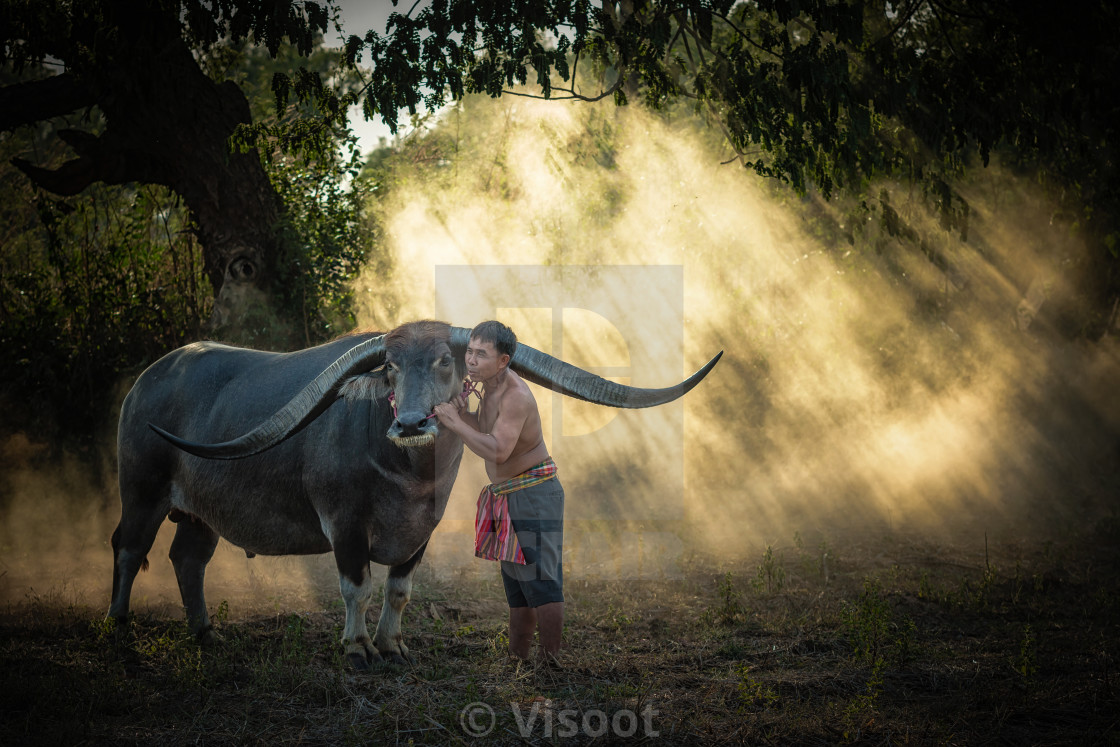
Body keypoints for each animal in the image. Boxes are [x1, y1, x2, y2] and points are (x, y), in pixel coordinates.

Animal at [109, 318, 721, 667]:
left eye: (446, 360)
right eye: (390, 368)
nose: (408, 422)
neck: (404, 475)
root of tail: (146, 381)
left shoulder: (422, 532)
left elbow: (399, 590)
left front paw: (392, 645)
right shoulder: (345, 526)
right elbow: (356, 586)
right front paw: (357, 648)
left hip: (199, 514)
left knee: (187, 558)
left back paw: (205, 634)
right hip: (142, 492)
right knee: (128, 548)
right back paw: (118, 630)